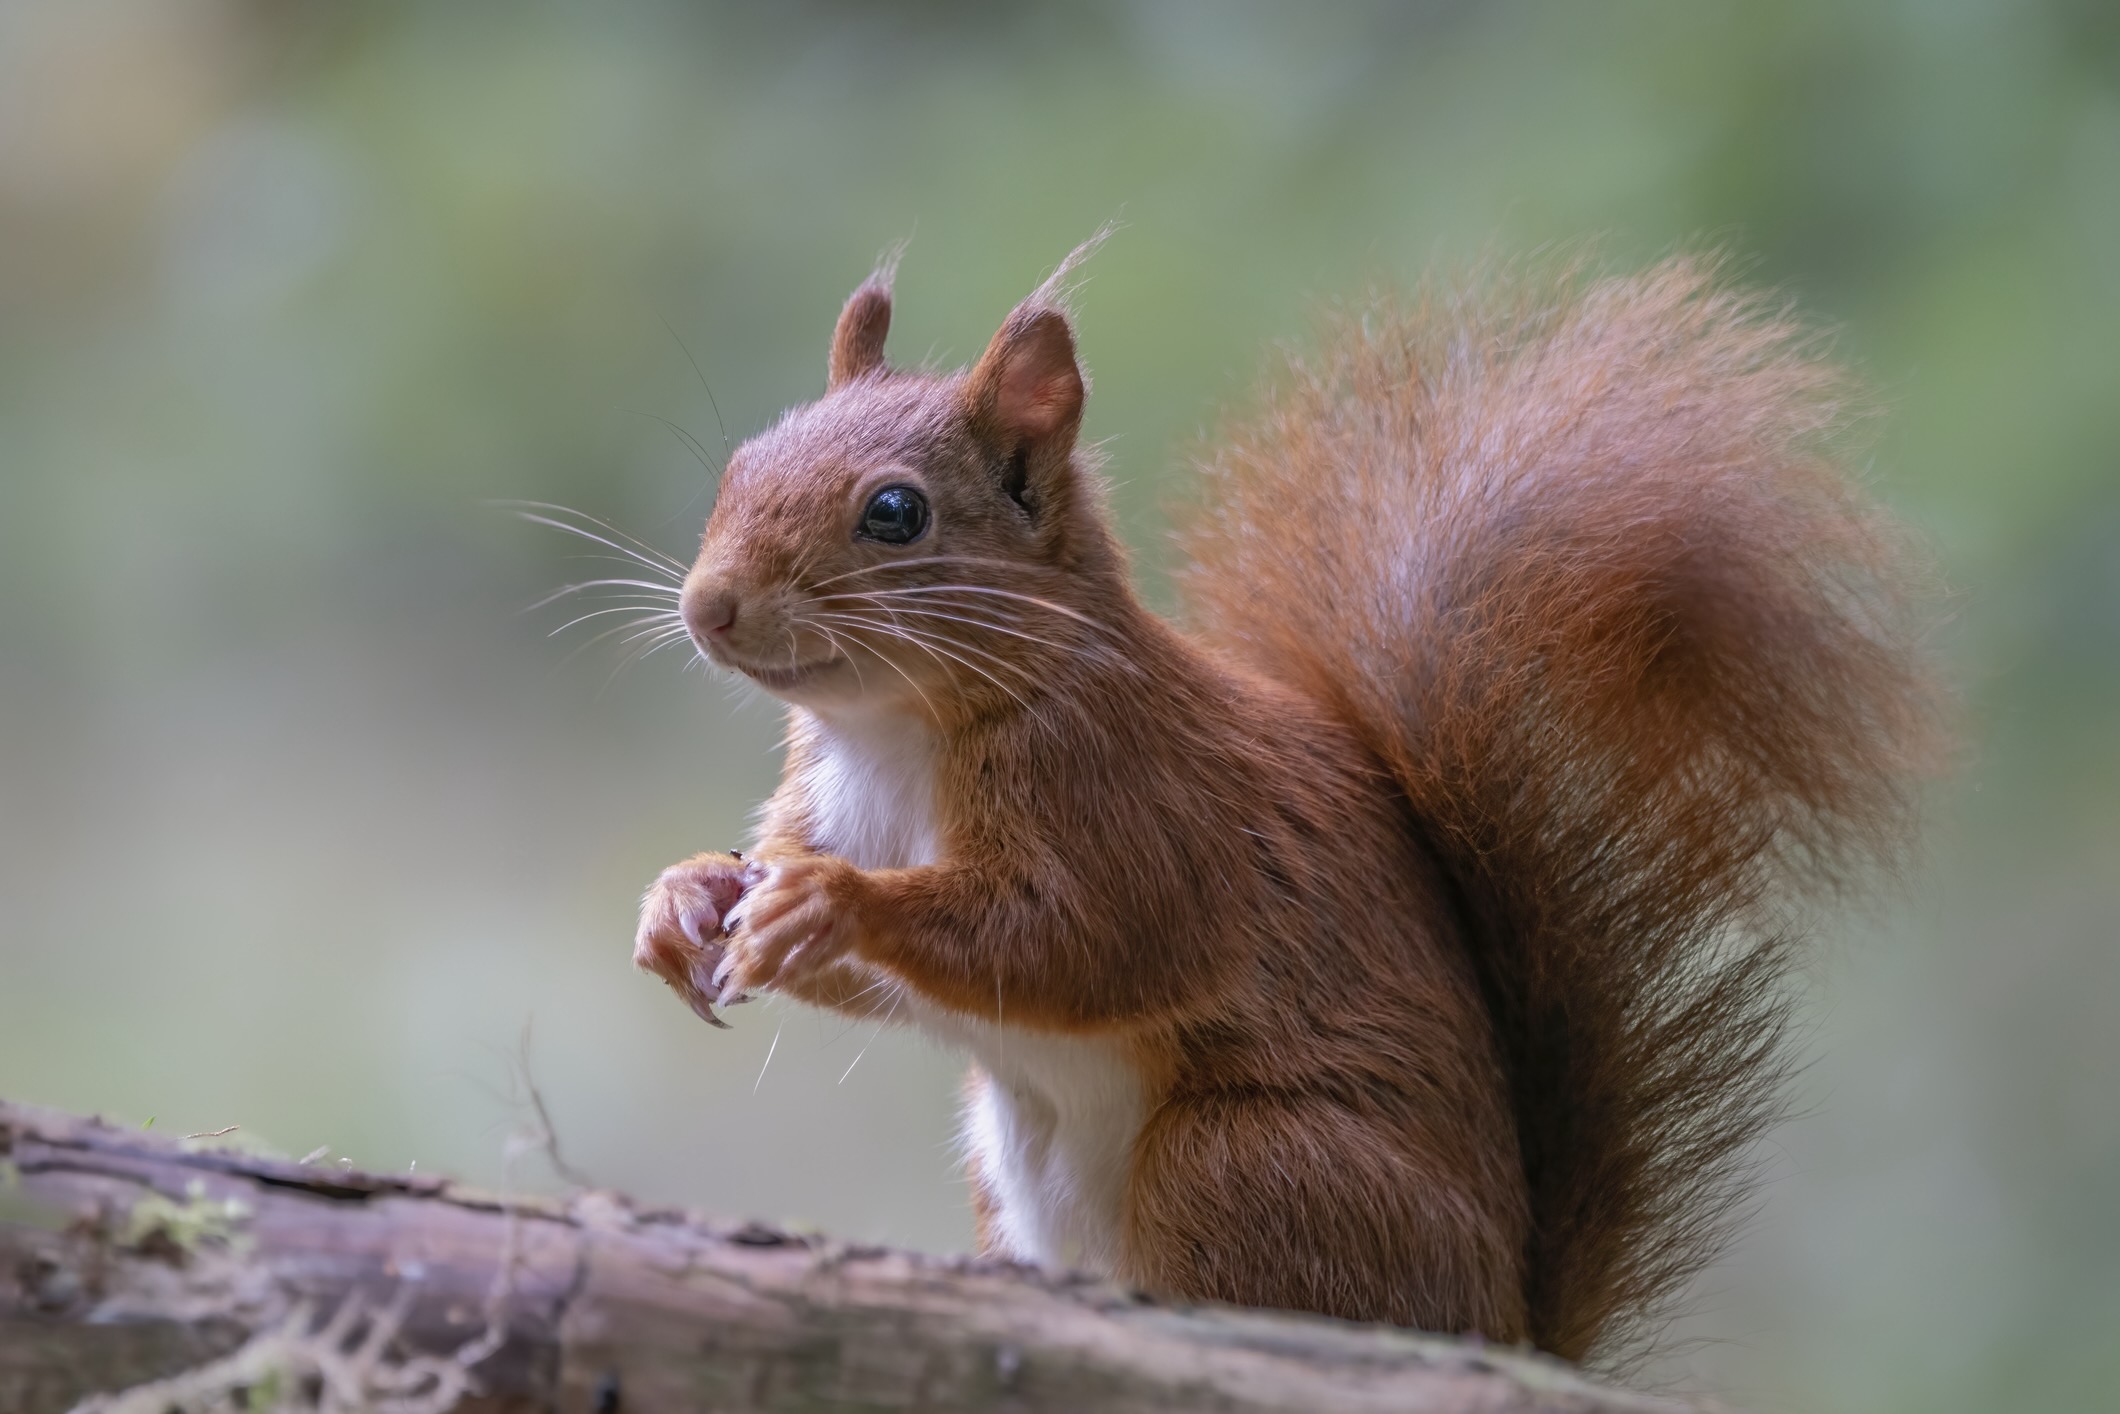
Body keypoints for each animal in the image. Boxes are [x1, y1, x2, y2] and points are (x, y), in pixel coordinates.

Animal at [628, 241, 1942, 1365]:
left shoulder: (1131, 799)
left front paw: (829, 903)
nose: (707, 607)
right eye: (743, 461)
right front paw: (684, 900)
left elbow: (1080, 941)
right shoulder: (826, 793)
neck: (896, 732)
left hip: (1247, 1161)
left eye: (894, 512)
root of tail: (1504, 1323)